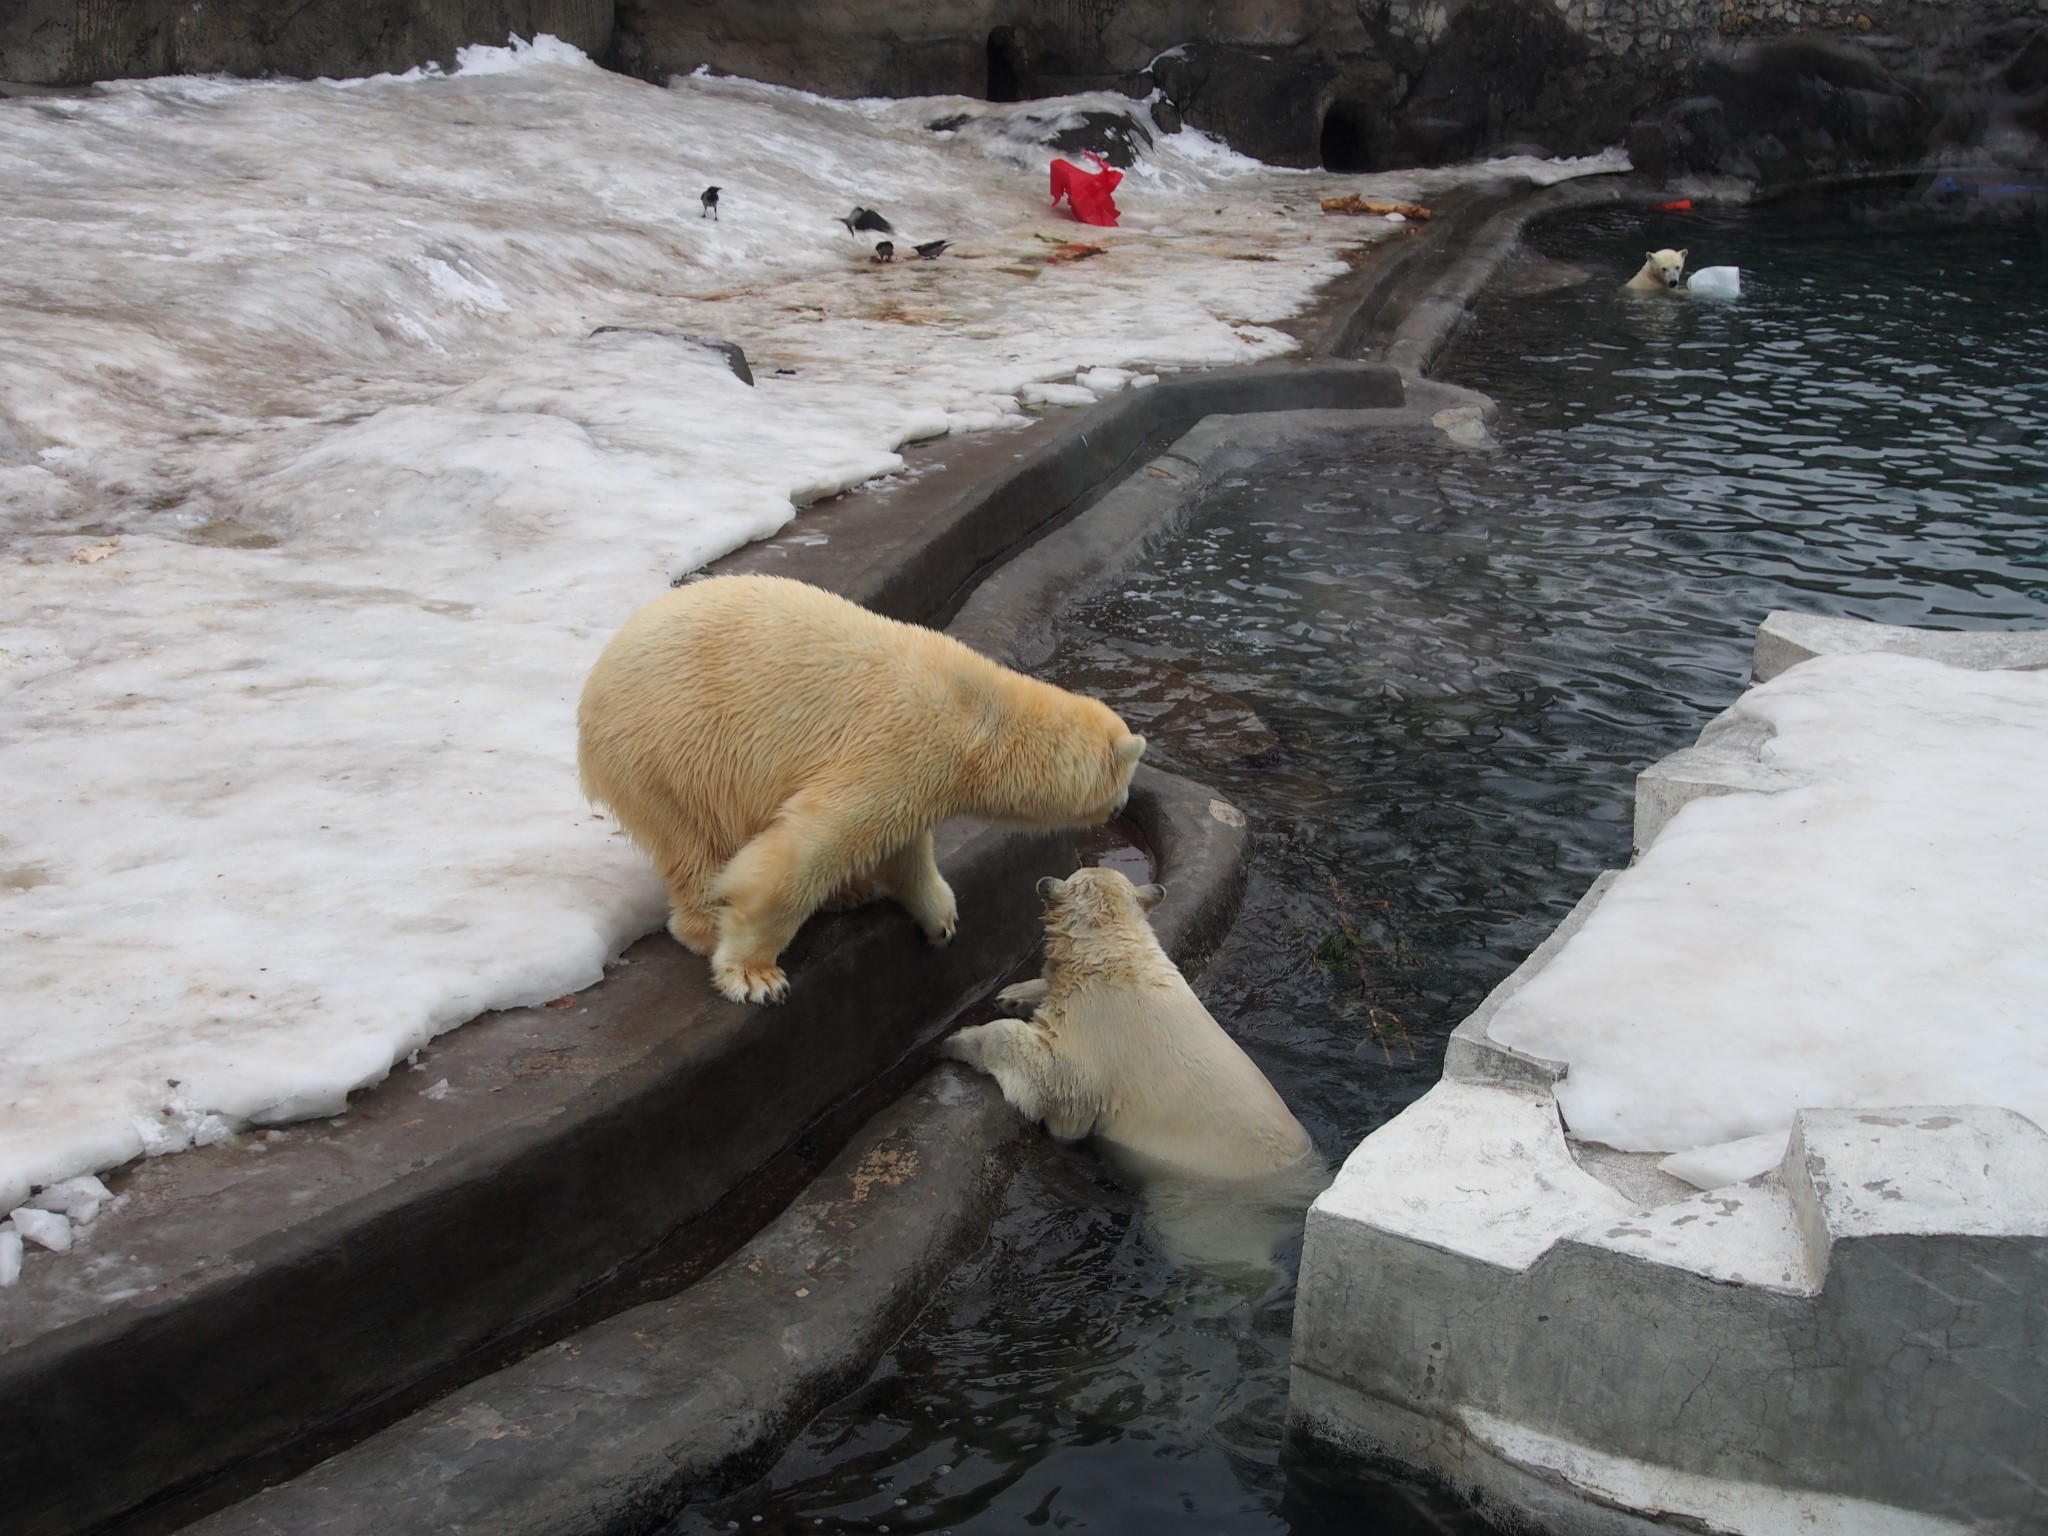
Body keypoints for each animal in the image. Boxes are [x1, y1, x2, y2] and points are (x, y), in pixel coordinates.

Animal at [585, 577, 1146, 1011]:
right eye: (1126, 776)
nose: (1122, 805)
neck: (980, 718)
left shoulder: (922, 777)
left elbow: (902, 848)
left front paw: (941, 920)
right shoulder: (902, 745)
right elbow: (807, 849)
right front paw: (754, 975)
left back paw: (845, 893)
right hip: (670, 749)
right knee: (692, 841)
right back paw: (707, 922)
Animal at [942, 868, 1310, 1179]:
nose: (1044, 881)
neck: (1112, 952)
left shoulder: (1102, 1026)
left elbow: (1059, 1075)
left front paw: (957, 1040)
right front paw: (1012, 994)